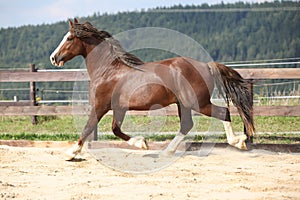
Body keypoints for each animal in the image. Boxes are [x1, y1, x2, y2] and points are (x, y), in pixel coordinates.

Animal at [50, 18, 254, 160]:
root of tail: (206, 65)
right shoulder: (119, 108)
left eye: (69, 38)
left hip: (198, 103)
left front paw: (71, 153)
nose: (54, 57)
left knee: (223, 112)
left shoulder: (100, 105)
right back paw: (166, 152)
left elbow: (88, 127)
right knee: (187, 125)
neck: (107, 70)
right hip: (183, 104)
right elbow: (116, 129)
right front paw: (142, 143)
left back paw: (239, 141)